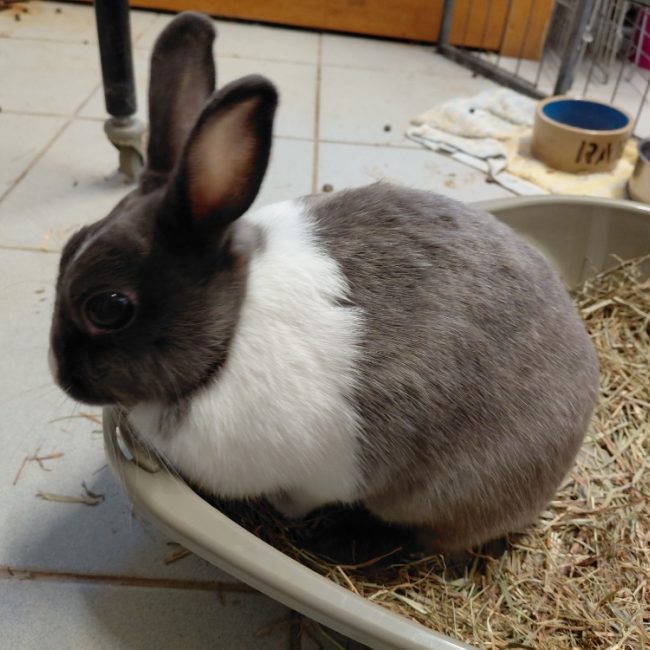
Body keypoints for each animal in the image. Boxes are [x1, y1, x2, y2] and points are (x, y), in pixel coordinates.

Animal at [49, 12, 599, 553]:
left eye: (108, 307)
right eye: (68, 245)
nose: (60, 374)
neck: (231, 332)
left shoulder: (317, 475)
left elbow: (302, 497)